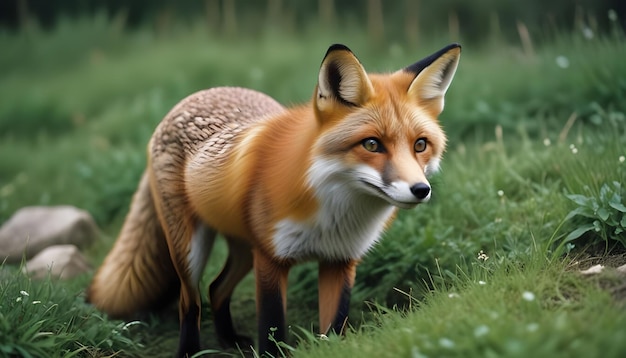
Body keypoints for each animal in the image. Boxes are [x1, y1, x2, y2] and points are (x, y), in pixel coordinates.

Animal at [86, 43, 458, 356]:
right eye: (371, 144)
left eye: (420, 145)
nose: (420, 189)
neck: (333, 212)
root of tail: (196, 95)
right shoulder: (271, 260)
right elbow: (273, 328)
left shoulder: (340, 261)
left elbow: (334, 327)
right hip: (191, 249)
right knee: (189, 303)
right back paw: (190, 351)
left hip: (243, 249)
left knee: (216, 289)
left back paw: (230, 340)